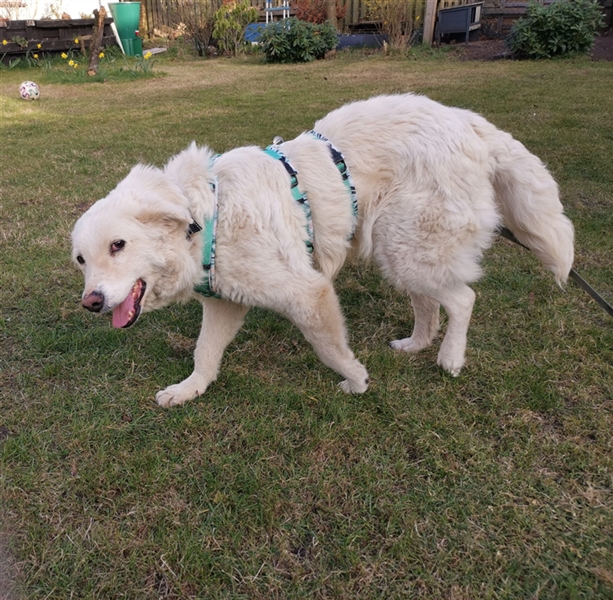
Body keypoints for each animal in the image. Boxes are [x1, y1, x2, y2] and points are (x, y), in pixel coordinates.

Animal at [72, 93, 574, 407]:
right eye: (81, 260)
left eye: (118, 245)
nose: (90, 303)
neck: (207, 215)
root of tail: (467, 122)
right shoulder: (226, 302)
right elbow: (204, 355)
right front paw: (188, 390)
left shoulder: (306, 292)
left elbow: (330, 348)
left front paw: (355, 380)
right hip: (400, 252)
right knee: (431, 304)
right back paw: (416, 344)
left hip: (406, 247)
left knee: (464, 298)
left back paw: (450, 357)